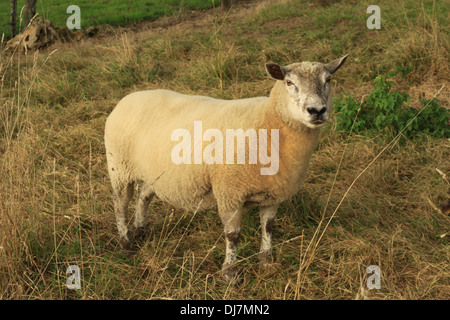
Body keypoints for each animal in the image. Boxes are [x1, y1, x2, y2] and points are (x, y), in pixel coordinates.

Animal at [104, 53, 348, 284]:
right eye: (289, 82)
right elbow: (233, 235)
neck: (269, 123)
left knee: (144, 196)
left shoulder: (272, 193)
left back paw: (140, 230)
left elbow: (268, 226)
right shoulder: (230, 192)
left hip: (152, 172)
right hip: (119, 167)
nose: (317, 110)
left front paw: (267, 261)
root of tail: (126, 99)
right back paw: (126, 243)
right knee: (120, 204)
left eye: (328, 80)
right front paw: (230, 273)